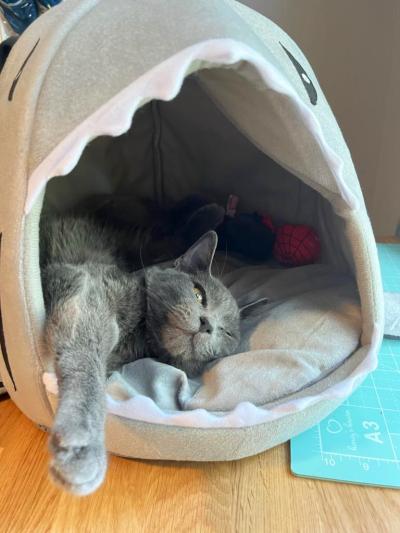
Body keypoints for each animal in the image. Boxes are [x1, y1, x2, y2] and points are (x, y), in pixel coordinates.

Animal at [41, 213, 241, 494]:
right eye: (198, 293)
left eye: (227, 333)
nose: (207, 324)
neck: (141, 333)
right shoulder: (86, 289)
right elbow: (86, 366)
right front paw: (81, 447)